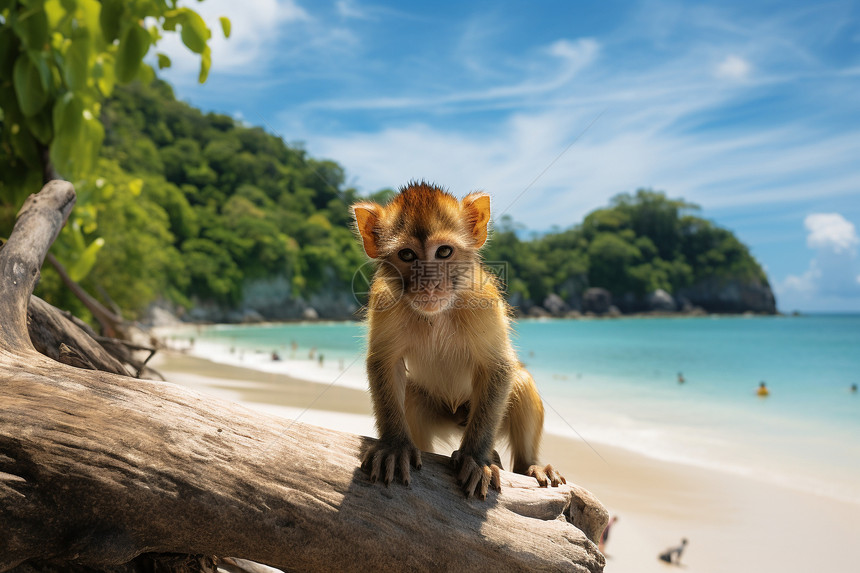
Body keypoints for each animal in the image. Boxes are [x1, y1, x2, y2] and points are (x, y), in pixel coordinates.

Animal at [352, 181, 564, 498]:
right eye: (407, 255)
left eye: (444, 251)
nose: (429, 285)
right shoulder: (384, 300)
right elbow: (385, 363)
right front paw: (394, 446)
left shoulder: (484, 298)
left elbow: (497, 366)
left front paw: (475, 458)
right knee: (412, 397)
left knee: (521, 381)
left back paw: (528, 464)